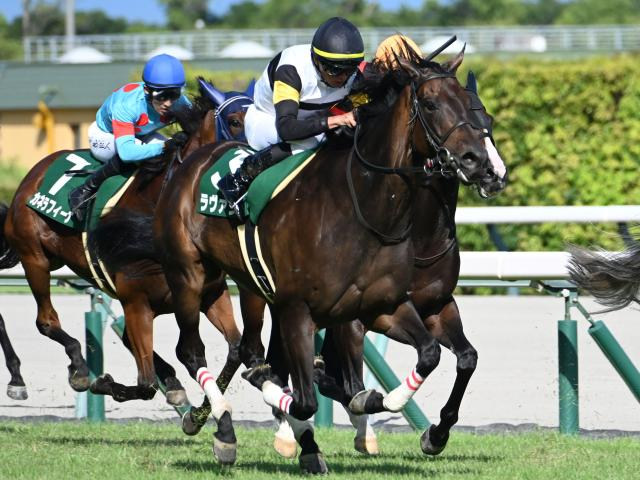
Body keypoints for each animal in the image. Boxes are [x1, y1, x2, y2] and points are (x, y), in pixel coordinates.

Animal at [0, 79, 253, 424]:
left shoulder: (210, 293)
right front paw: (103, 382)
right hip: (34, 258)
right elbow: (147, 381)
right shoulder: (136, 300)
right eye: (236, 121)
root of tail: (31, 176)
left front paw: (199, 412)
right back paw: (71, 370)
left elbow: (234, 349)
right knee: (46, 321)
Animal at [131, 45, 505, 473]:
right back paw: (223, 428)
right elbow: (310, 395)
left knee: (250, 350)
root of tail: (192, 161)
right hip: (189, 275)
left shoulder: (390, 305)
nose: (481, 163)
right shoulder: (305, 310)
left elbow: (437, 356)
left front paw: (420, 426)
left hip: (249, 286)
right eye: (430, 103)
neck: (365, 210)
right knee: (194, 351)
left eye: (482, 114)